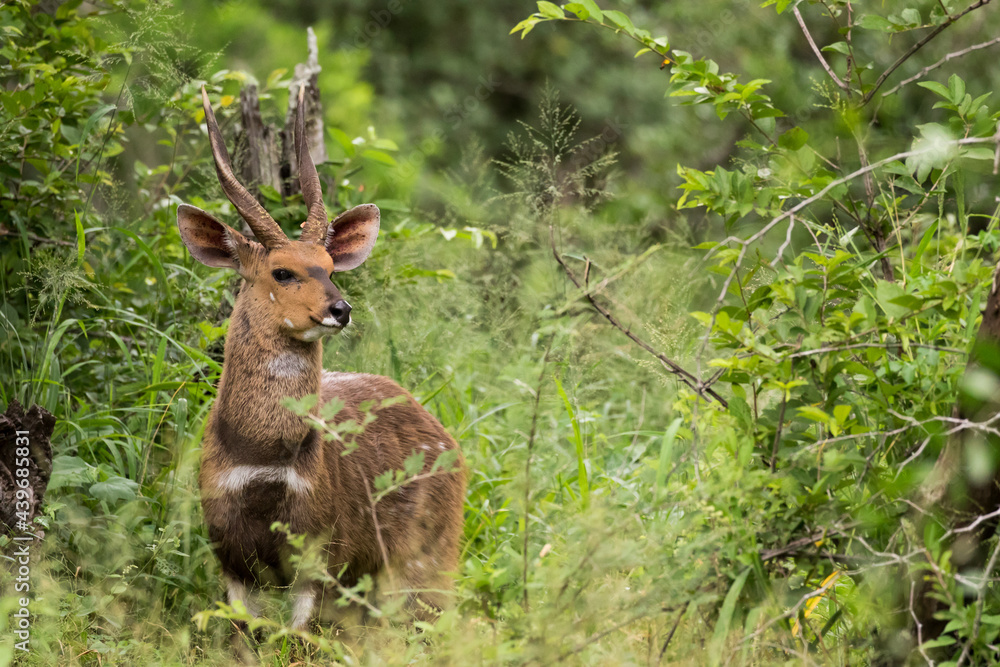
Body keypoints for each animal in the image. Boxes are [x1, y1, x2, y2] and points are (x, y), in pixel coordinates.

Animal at [177, 87, 466, 637]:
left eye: (331, 267)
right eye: (281, 271)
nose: (341, 309)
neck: (262, 462)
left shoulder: (319, 557)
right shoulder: (231, 559)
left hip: (428, 562)